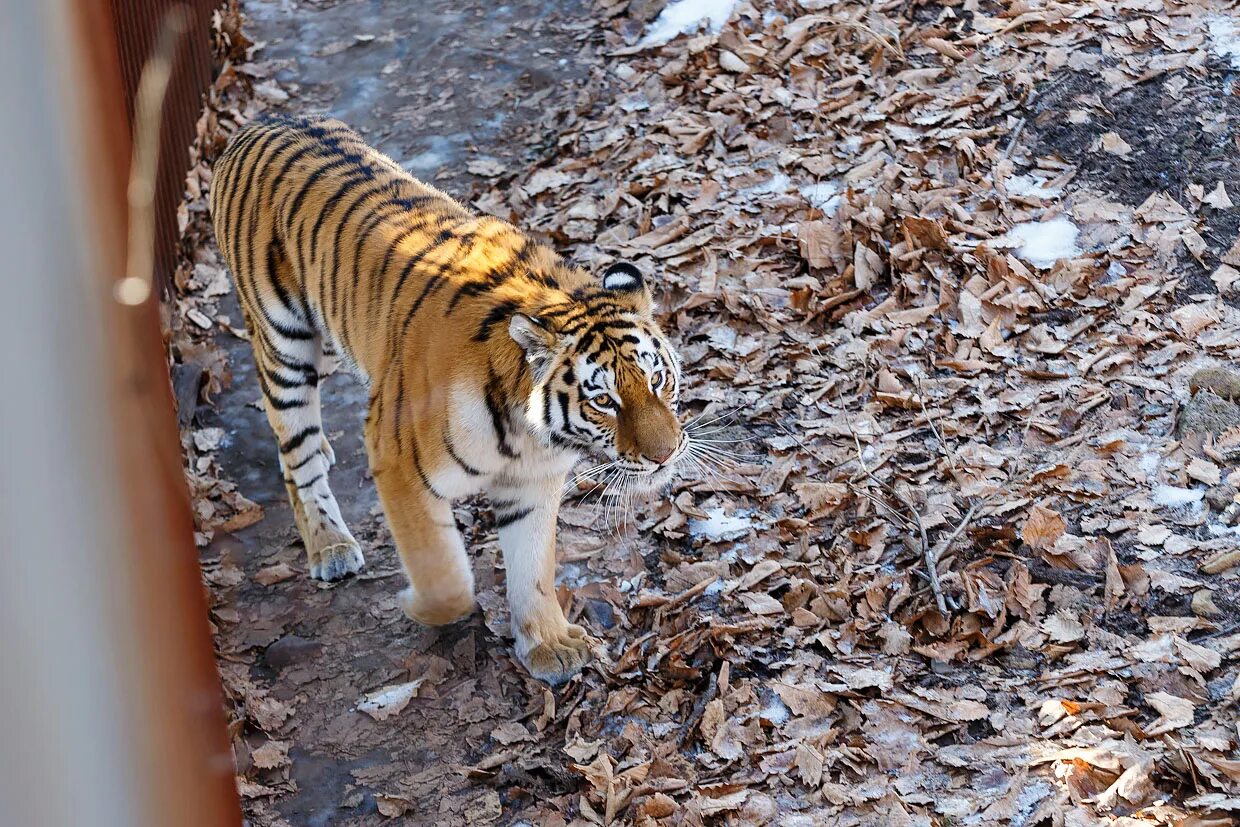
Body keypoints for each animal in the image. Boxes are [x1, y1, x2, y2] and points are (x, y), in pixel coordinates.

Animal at [205, 117, 689, 684]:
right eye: (604, 401)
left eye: (658, 380)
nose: (665, 454)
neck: (529, 433)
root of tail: (257, 125)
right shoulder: (397, 464)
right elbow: (446, 576)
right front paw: (417, 606)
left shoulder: (532, 482)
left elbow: (533, 567)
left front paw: (549, 644)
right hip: (284, 346)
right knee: (293, 452)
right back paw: (329, 545)